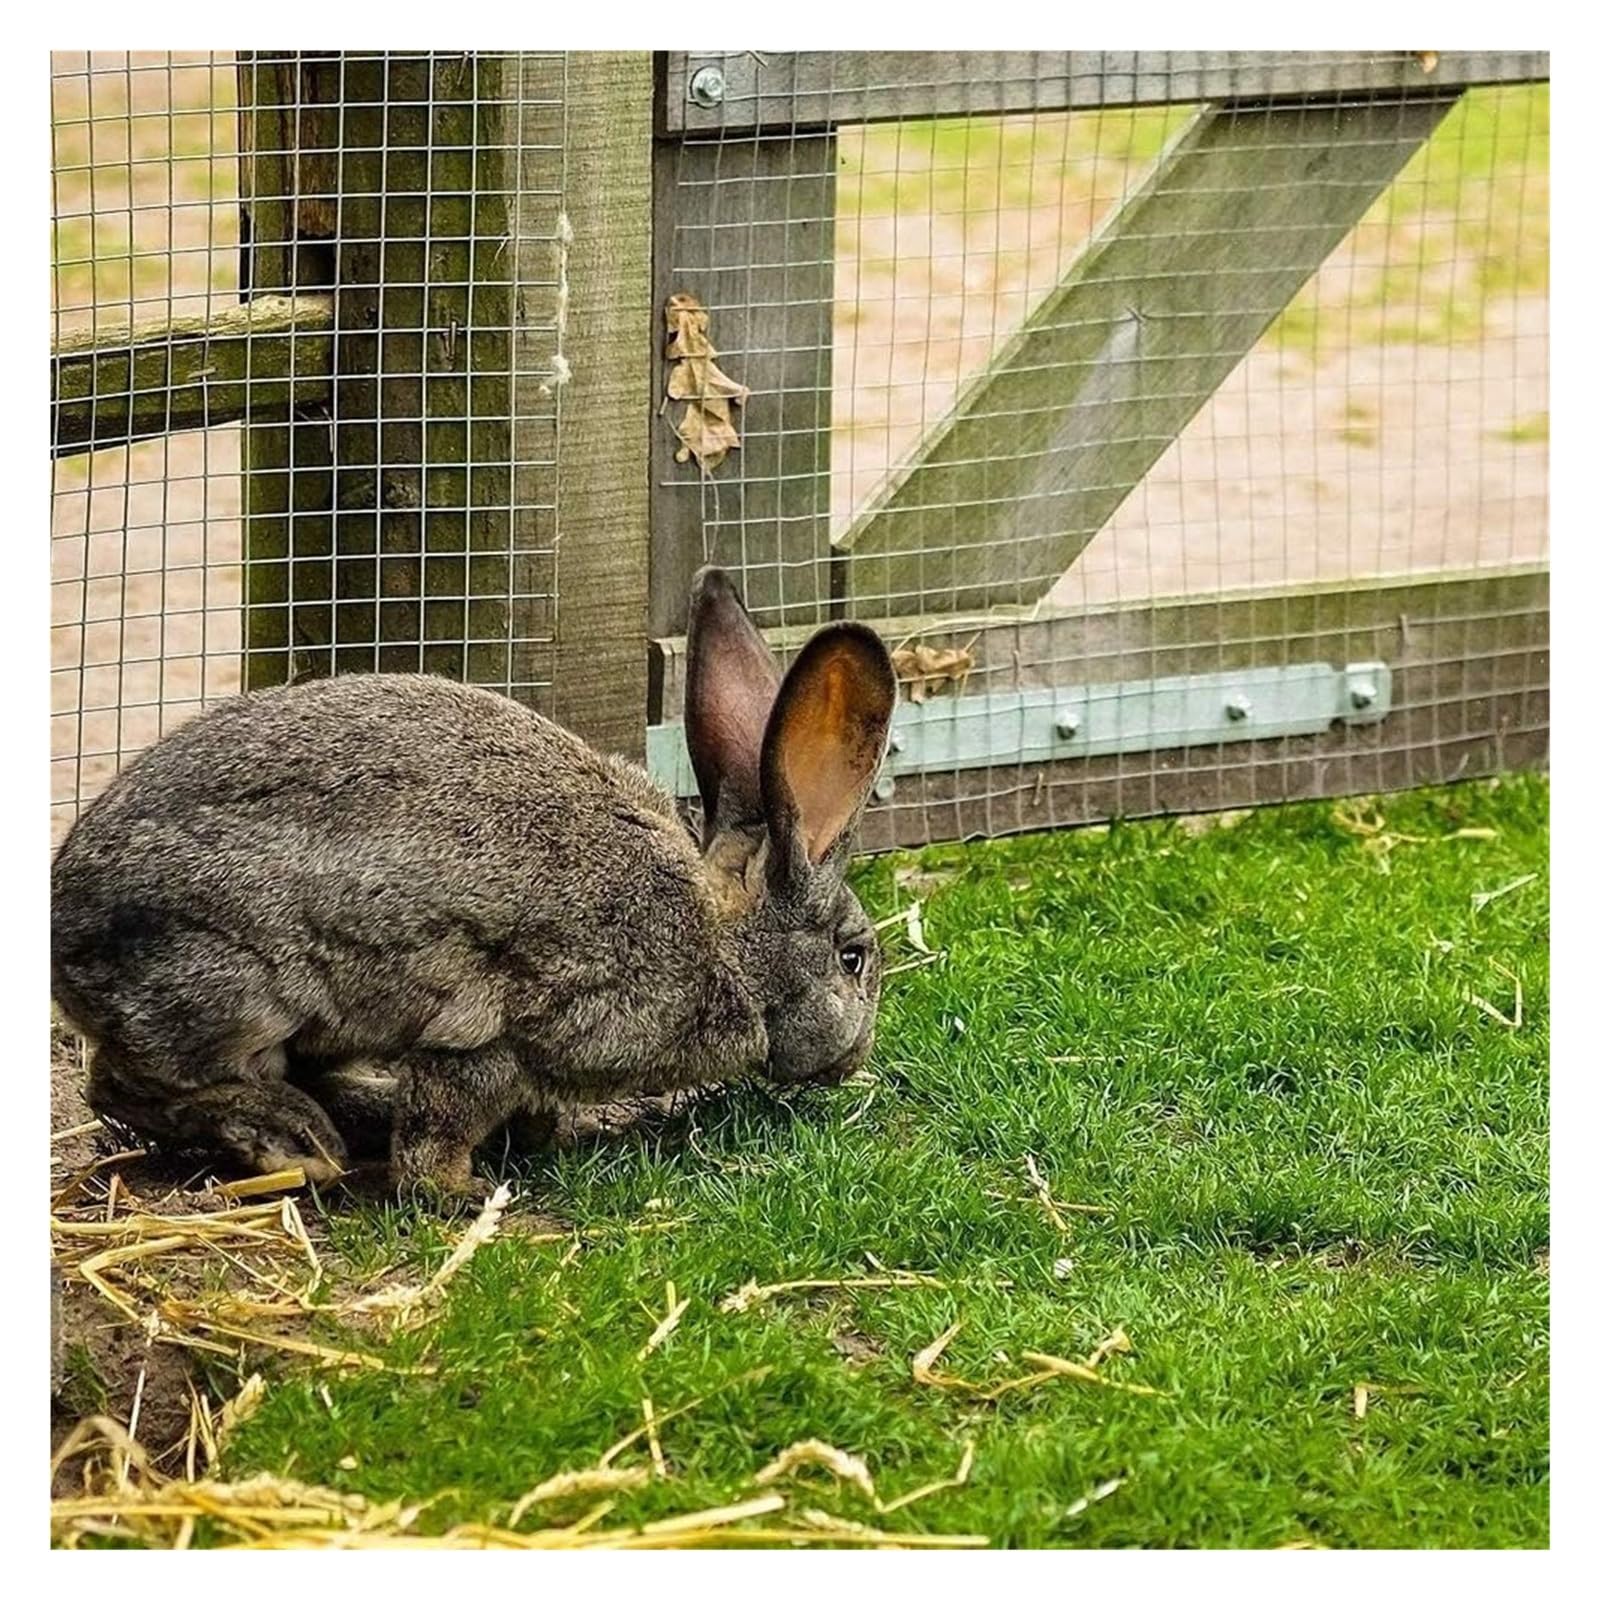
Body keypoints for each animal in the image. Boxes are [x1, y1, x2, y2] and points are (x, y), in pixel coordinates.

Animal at [50, 567, 898, 1199]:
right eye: (853, 958)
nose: (855, 1059)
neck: (723, 940)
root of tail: (63, 925)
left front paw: (537, 1140)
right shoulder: (509, 1035)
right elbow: (441, 1126)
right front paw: (461, 1190)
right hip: (229, 991)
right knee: (124, 1087)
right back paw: (294, 1142)